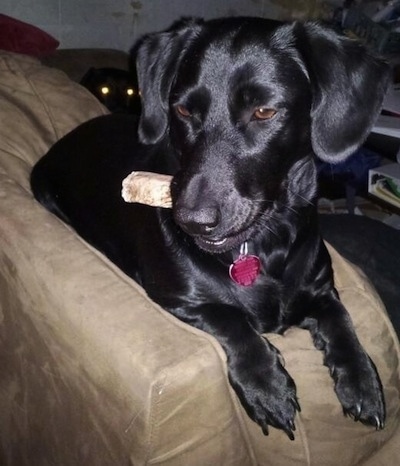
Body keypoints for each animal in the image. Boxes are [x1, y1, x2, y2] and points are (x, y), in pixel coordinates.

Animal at [31, 17, 390, 440]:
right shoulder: (177, 298)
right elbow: (232, 319)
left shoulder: (320, 289)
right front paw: (267, 385)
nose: (191, 219)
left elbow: (342, 321)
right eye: (183, 109)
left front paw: (362, 380)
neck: (260, 243)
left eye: (264, 112)